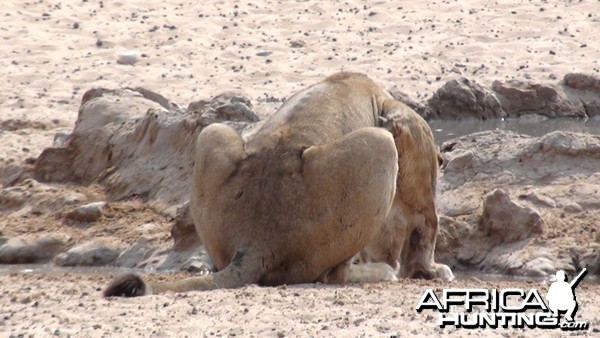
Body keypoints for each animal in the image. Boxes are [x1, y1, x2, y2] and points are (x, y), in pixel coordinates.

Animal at [103, 72, 452, 298]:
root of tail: (255, 242)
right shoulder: (414, 150)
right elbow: (426, 222)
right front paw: (432, 270)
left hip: (213, 133)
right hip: (378, 146)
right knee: (332, 275)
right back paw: (378, 273)